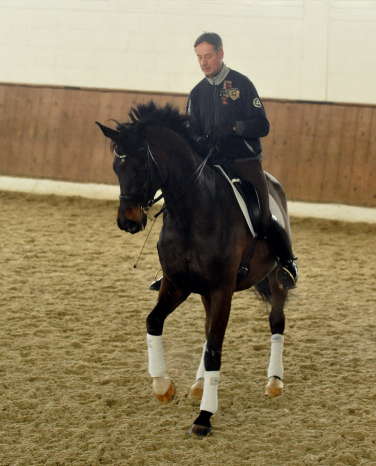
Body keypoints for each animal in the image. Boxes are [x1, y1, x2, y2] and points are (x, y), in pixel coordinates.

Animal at [97, 101, 290, 436]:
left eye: (141, 166)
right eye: (116, 168)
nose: (127, 222)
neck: (194, 211)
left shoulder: (222, 289)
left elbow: (215, 349)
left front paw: (204, 417)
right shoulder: (176, 284)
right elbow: (154, 322)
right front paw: (163, 386)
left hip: (274, 277)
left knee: (276, 321)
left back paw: (274, 381)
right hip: (203, 293)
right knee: (207, 329)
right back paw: (199, 385)